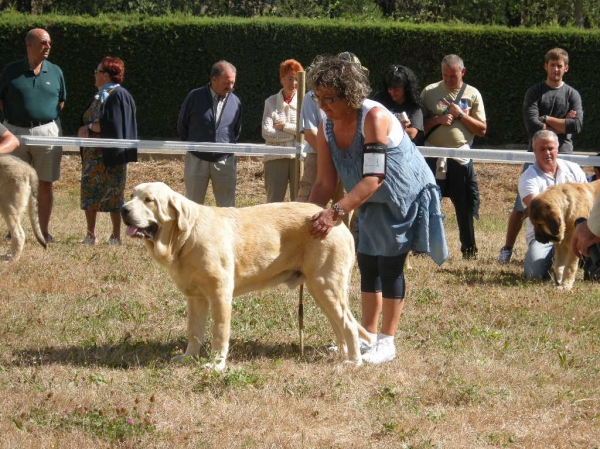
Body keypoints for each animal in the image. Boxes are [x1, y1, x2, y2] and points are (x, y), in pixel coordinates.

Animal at [120, 182, 370, 372]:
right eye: (132, 195)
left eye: (149, 200)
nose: (123, 209)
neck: (185, 237)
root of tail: (338, 222)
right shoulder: (195, 297)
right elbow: (194, 331)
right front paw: (189, 357)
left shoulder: (220, 295)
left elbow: (219, 333)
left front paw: (216, 364)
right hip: (321, 289)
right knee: (340, 325)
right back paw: (342, 356)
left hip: (325, 286)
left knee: (348, 325)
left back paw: (353, 362)